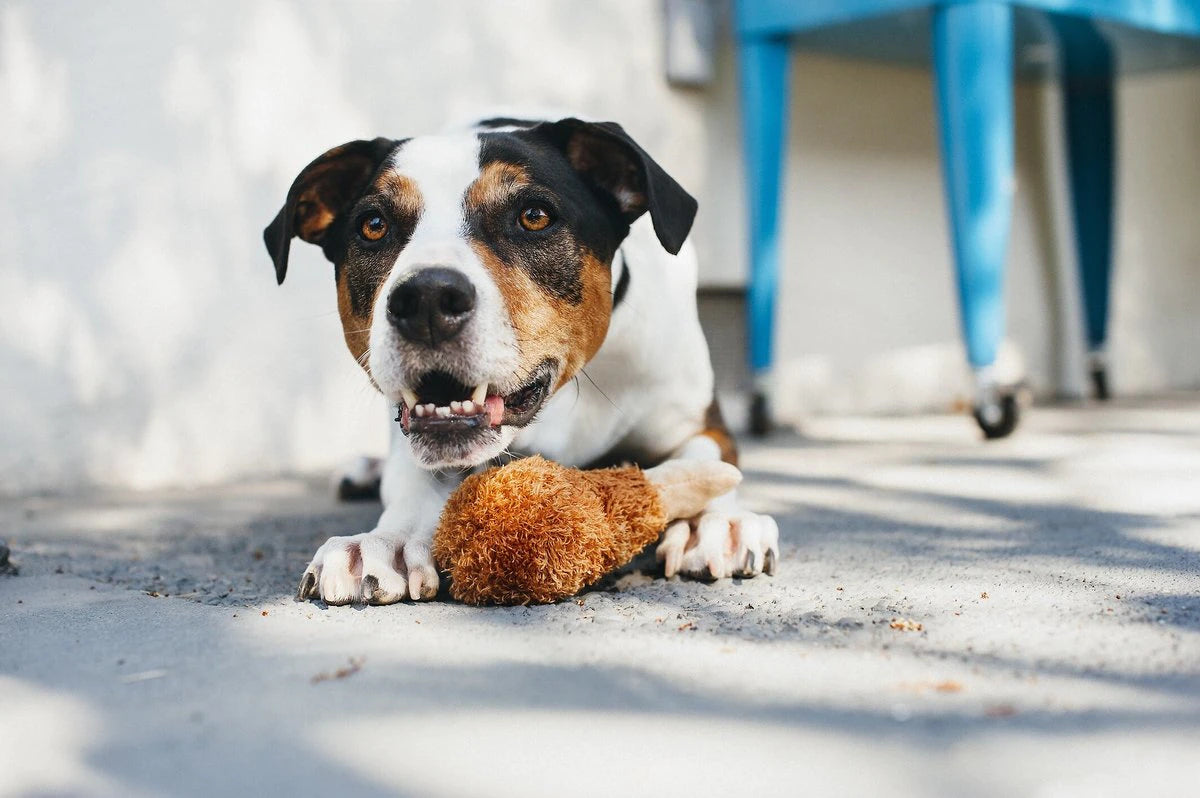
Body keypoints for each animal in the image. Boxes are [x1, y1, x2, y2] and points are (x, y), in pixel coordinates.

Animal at [265, 117, 777, 604]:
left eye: (534, 216)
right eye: (373, 225)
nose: (427, 299)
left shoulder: (697, 421)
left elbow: (710, 459)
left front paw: (713, 523)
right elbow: (413, 477)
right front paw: (387, 540)